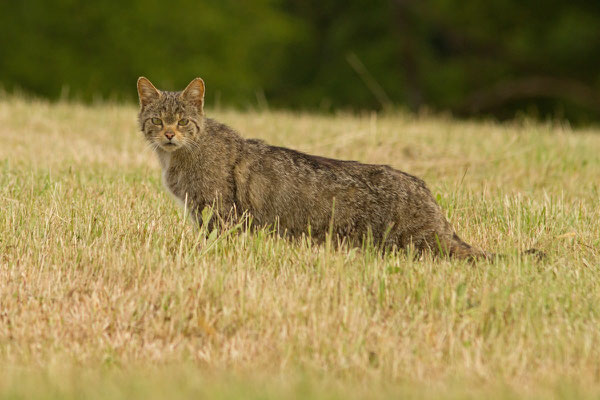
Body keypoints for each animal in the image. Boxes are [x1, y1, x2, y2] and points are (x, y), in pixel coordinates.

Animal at [135, 76, 524, 260]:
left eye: (182, 122)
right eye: (157, 120)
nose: (169, 134)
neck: (177, 159)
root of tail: (427, 195)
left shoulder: (220, 213)